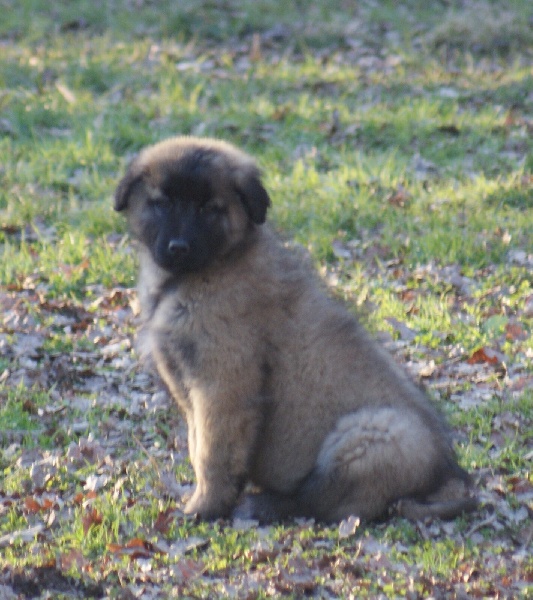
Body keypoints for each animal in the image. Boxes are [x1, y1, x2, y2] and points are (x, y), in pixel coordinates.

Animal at [114, 136, 476, 520]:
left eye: (209, 208)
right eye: (163, 203)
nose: (179, 248)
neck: (206, 271)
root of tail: (446, 475)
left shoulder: (223, 383)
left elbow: (211, 453)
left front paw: (205, 507)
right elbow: (197, 442)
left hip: (375, 435)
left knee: (326, 502)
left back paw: (264, 505)